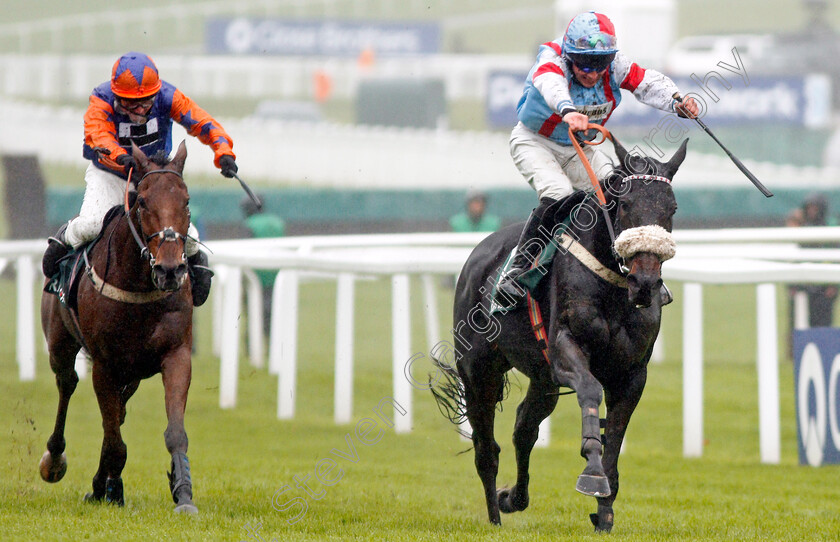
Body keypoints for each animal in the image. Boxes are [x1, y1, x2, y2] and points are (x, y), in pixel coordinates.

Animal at [39, 140, 199, 516]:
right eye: (143, 202)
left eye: (186, 201)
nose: (170, 270)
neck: (140, 285)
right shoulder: (105, 365)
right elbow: (115, 442)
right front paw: (110, 488)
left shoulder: (176, 354)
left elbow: (174, 431)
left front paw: (183, 492)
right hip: (60, 344)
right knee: (67, 384)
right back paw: (56, 459)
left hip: (134, 373)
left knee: (118, 412)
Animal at [434, 134, 688, 532]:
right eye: (626, 204)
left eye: (671, 208)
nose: (646, 283)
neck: (614, 288)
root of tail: (479, 254)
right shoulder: (566, 350)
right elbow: (590, 391)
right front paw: (592, 472)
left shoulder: (632, 374)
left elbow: (615, 438)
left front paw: (605, 514)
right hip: (479, 372)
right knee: (486, 449)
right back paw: (494, 518)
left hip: (543, 380)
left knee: (524, 428)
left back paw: (513, 499)